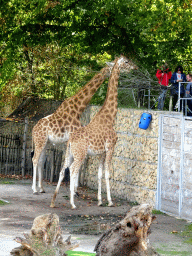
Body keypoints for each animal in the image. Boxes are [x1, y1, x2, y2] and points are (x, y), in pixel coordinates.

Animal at [32, 64, 112, 194]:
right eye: (110, 68)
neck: (78, 109)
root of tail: (33, 129)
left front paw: (74, 188)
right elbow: (74, 164)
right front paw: (74, 189)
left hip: (45, 142)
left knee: (41, 161)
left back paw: (41, 188)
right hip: (40, 141)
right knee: (35, 159)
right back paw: (34, 189)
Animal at [50, 56, 138, 208]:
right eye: (126, 61)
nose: (135, 67)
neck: (110, 117)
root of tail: (70, 140)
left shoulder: (101, 152)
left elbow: (99, 174)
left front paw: (100, 200)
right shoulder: (110, 147)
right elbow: (107, 174)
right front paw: (110, 201)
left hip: (69, 153)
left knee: (62, 170)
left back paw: (53, 201)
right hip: (80, 154)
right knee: (72, 170)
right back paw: (72, 203)